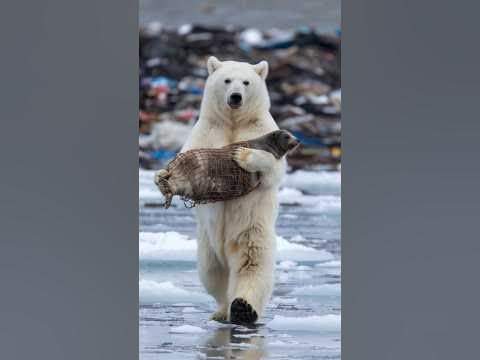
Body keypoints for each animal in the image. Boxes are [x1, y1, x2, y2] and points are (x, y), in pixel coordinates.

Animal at [177, 55, 284, 324]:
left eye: (246, 82)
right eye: (227, 80)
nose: (235, 97)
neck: (234, 122)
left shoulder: (261, 128)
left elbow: (274, 167)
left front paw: (243, 155)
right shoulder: (207, 130)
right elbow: (191, 157)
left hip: (252, 231)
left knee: (253, 263)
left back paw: (243, 308)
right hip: (207, 244)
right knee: (212, 273)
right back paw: (222, 310)